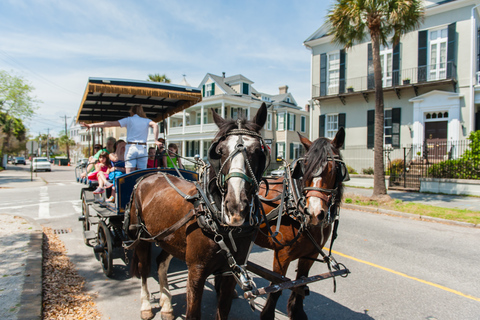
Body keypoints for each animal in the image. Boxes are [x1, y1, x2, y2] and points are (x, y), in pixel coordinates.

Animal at [127, 104, 270, 318]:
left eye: (258, 151)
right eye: (220, 151)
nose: (236, 207)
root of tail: (150, 175)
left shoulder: (231, 272)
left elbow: (223, 310)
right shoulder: (196, 270)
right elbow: (193, 312)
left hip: (167, 238)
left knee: (161, 263)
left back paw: (166, 304)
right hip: (142, 236)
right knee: (144, 269)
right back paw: (146, 306)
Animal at [255, 127, 348, 320]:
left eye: (335, 168)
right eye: (306, 167)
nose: (314, 213)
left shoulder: (310, 254)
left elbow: (300, 285)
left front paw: (297, 312)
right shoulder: (282, 255)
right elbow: (276, 288)